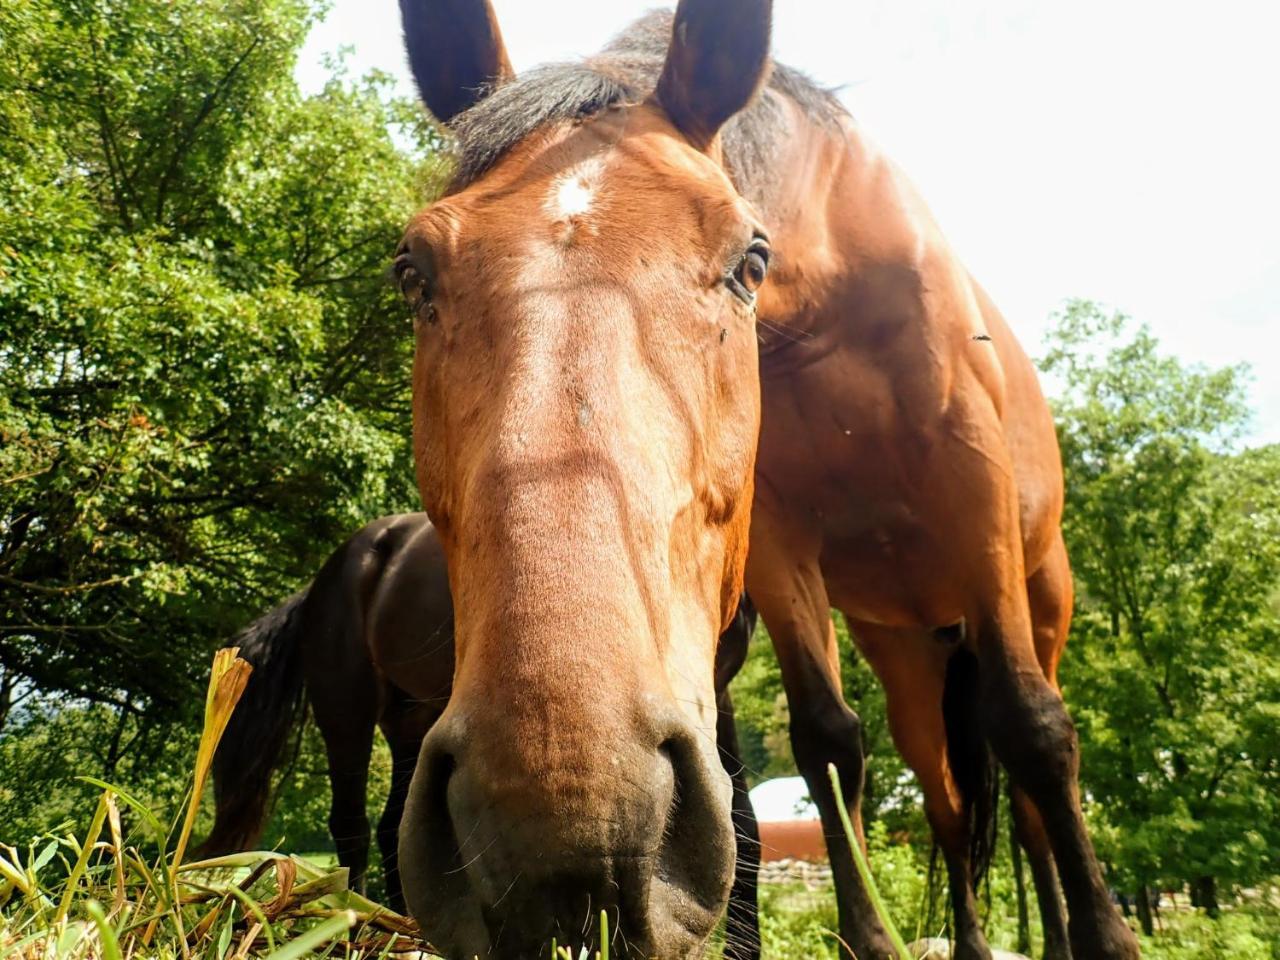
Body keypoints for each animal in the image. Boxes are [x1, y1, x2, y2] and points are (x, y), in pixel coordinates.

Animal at [194, 514, 762, 957]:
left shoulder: (714, 698)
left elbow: (742, 828)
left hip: (412, 724)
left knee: (395, 827)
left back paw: (408, 933)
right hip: (346, 712)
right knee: (351, 824)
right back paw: (354, 926)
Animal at [391, 5, 1141, 960]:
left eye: (750, 262)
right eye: (411, 270)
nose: (557, 814)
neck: (830, 303)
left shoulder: (975, 499)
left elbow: (1035, 730)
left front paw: (1107, 937)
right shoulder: (781, 546)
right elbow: (826, 740)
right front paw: (871, 938)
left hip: (1035, 594)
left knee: (1033, 792)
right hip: (904, 648)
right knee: (947, 802)